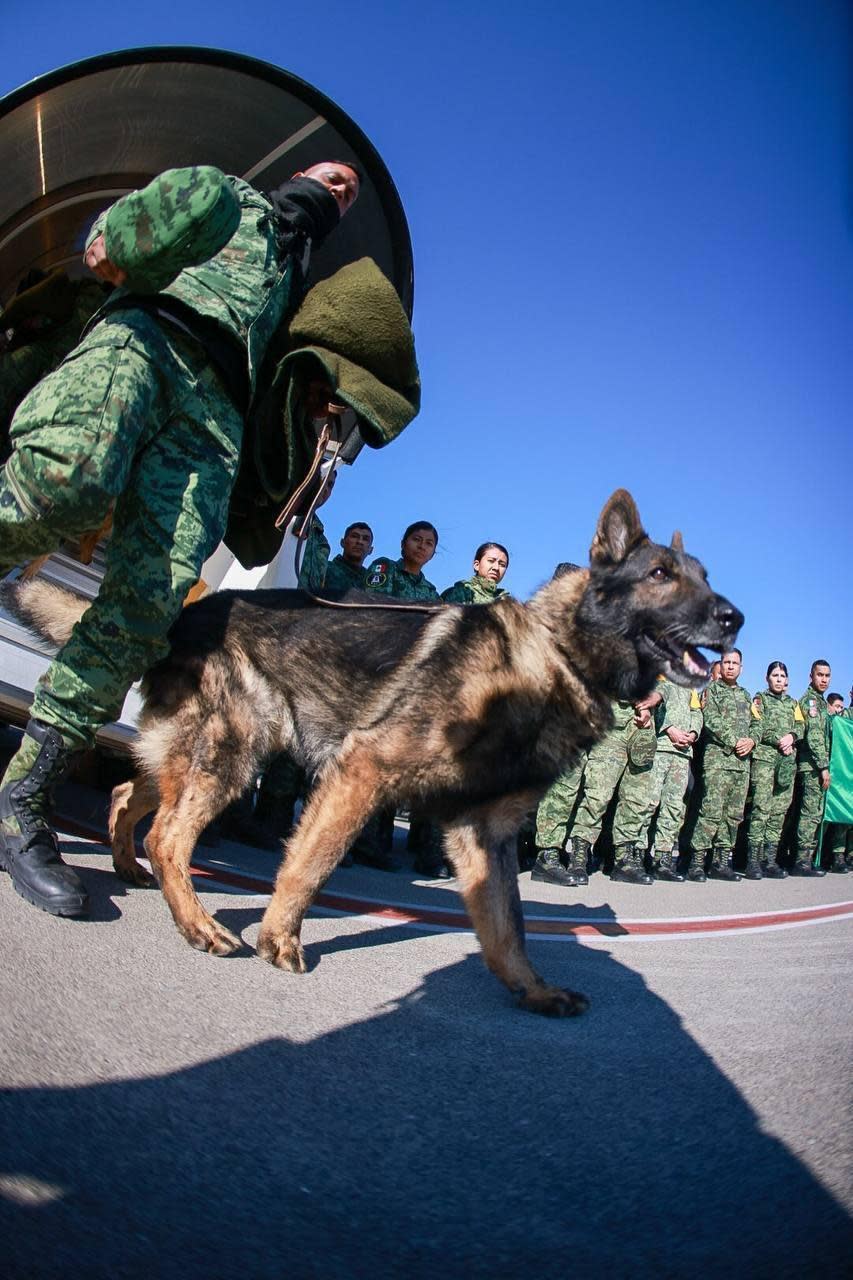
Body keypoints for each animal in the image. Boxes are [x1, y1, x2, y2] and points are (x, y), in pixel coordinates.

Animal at [4, 491, 737, 1018]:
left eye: (704, 579)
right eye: (660, 575)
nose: (734, 619)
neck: (554, 655)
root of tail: (184, 614)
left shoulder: (483, 834)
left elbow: (508, 926)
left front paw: (532, 990)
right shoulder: (362, 772)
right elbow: (310, 865)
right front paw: (279, 939)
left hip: (205, 754)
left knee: (130, 795)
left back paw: (131, 869)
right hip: (236, 752)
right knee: (168, 834)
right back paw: (196, 923)